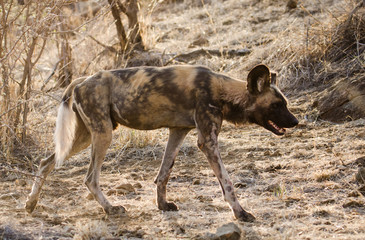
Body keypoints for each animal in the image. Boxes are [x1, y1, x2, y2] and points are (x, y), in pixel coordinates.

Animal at [26, 63, 298, 221]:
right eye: (277, 105)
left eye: (284, 103)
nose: (295, 121)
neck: (221, 90)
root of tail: (81, 79)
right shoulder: (207, 140)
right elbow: (228, 183)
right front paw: (240, 213)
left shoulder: (178, 131)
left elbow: (163, 174)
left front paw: (162, 204)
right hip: (102, 135)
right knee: (90, 178)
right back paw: (111, 209)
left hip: (83, 138)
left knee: (45, 162)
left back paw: (30, 204)